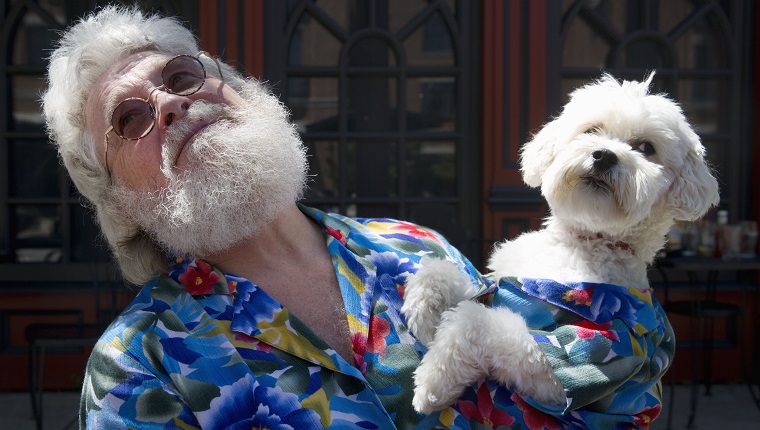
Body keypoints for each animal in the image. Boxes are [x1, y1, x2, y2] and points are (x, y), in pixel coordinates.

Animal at [404, 73, 720, 416]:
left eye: (646, 148)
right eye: (592, 130)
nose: (604, 155)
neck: (583, 243)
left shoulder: (574, 361)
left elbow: (477, 321)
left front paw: (434, 381)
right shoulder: (497, 280)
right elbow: (449, 273)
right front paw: (424, 310)